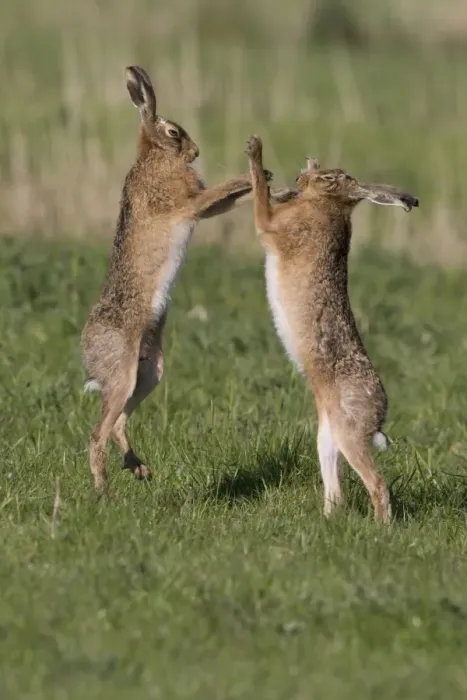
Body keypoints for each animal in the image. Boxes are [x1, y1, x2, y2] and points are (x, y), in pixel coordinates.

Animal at [81, 65, 277, 494]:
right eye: (173, 132)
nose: (196, 152)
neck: (154, 156)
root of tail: (85, 348)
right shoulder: (187, 204)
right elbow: (218, 194)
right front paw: (253, 175)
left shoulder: (200, 207)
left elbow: (226, 201)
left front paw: (267, 179)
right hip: (123, 374)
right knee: (97, 432)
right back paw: (103, 492)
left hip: (149, 373)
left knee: (118, 424)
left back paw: (138, 468)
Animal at [245, 135, 419, 522]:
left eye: (329, 179)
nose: (300, 178)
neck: (329, 206)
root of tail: (379, 413)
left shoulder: (273, 227)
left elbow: (261, 200)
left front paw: (255, 151)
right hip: (328, 435)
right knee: (336, 490)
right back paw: (327, 521)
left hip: (349, 433)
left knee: (377, 485)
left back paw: (379, 528)